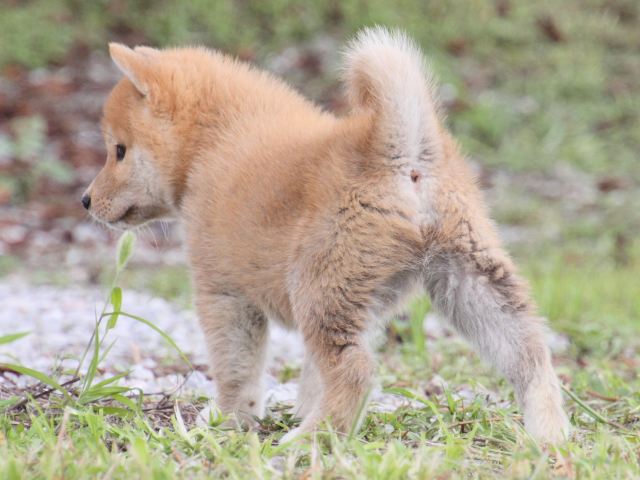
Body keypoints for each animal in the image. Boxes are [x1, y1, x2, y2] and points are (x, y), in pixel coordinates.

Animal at [84, 28, 568, 444]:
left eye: (118, 151)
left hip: (322, 289)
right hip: (470, 279)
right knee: (529, 355)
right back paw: (549, 434)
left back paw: (310, 439)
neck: (210, 143)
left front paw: (228, 419)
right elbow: (311, 375)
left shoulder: (224, 294)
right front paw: (296, 409)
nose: (85, 201)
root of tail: (399, 150)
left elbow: (237, 371)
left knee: (355, 372)